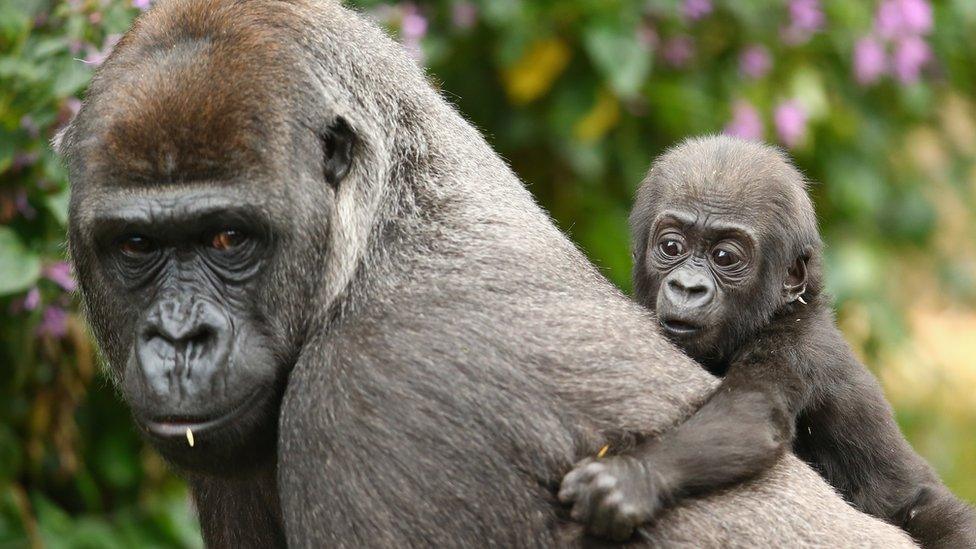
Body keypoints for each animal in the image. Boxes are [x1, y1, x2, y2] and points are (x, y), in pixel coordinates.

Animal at [556, 135, 976, 544]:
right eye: (671, 247)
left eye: (725, 257)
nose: (688, 287)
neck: (779, 310)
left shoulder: (797, 346)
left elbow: (751, 414)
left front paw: (633, 476)